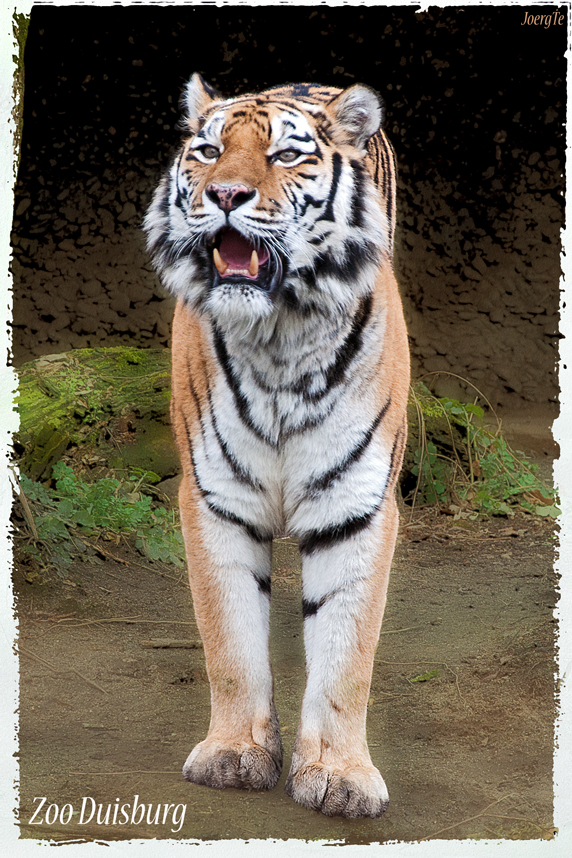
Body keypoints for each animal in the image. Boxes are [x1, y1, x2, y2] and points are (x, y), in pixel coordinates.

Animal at [145, 73, 408, 816]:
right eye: (208, 151)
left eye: (286, 156)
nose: (225, 196)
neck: (281, 337)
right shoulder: (217, 498)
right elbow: (229, 642)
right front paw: (235, 754)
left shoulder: (357, 505)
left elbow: (348, 657)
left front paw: (341, 776)